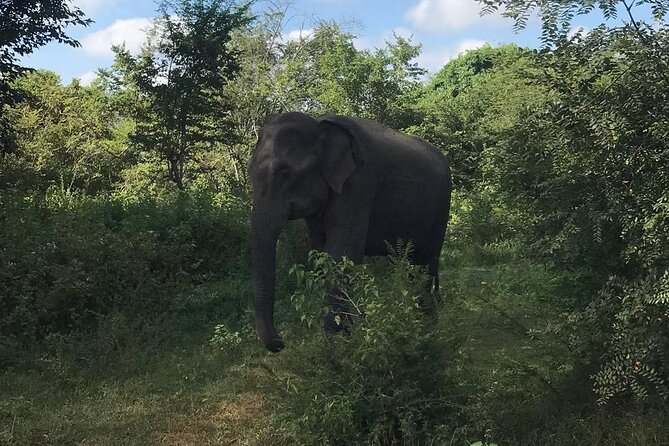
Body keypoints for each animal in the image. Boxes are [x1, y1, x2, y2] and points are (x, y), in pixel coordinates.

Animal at [248, 112, 452, 352]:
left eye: (285, 173)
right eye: (250, 174)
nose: (281, 342)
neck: (320, 126)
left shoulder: (358, 183)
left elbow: (343, 252)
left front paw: (337, 347)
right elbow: (321, 253)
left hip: (442, 207)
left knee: (424, 263)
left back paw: (428, 324)